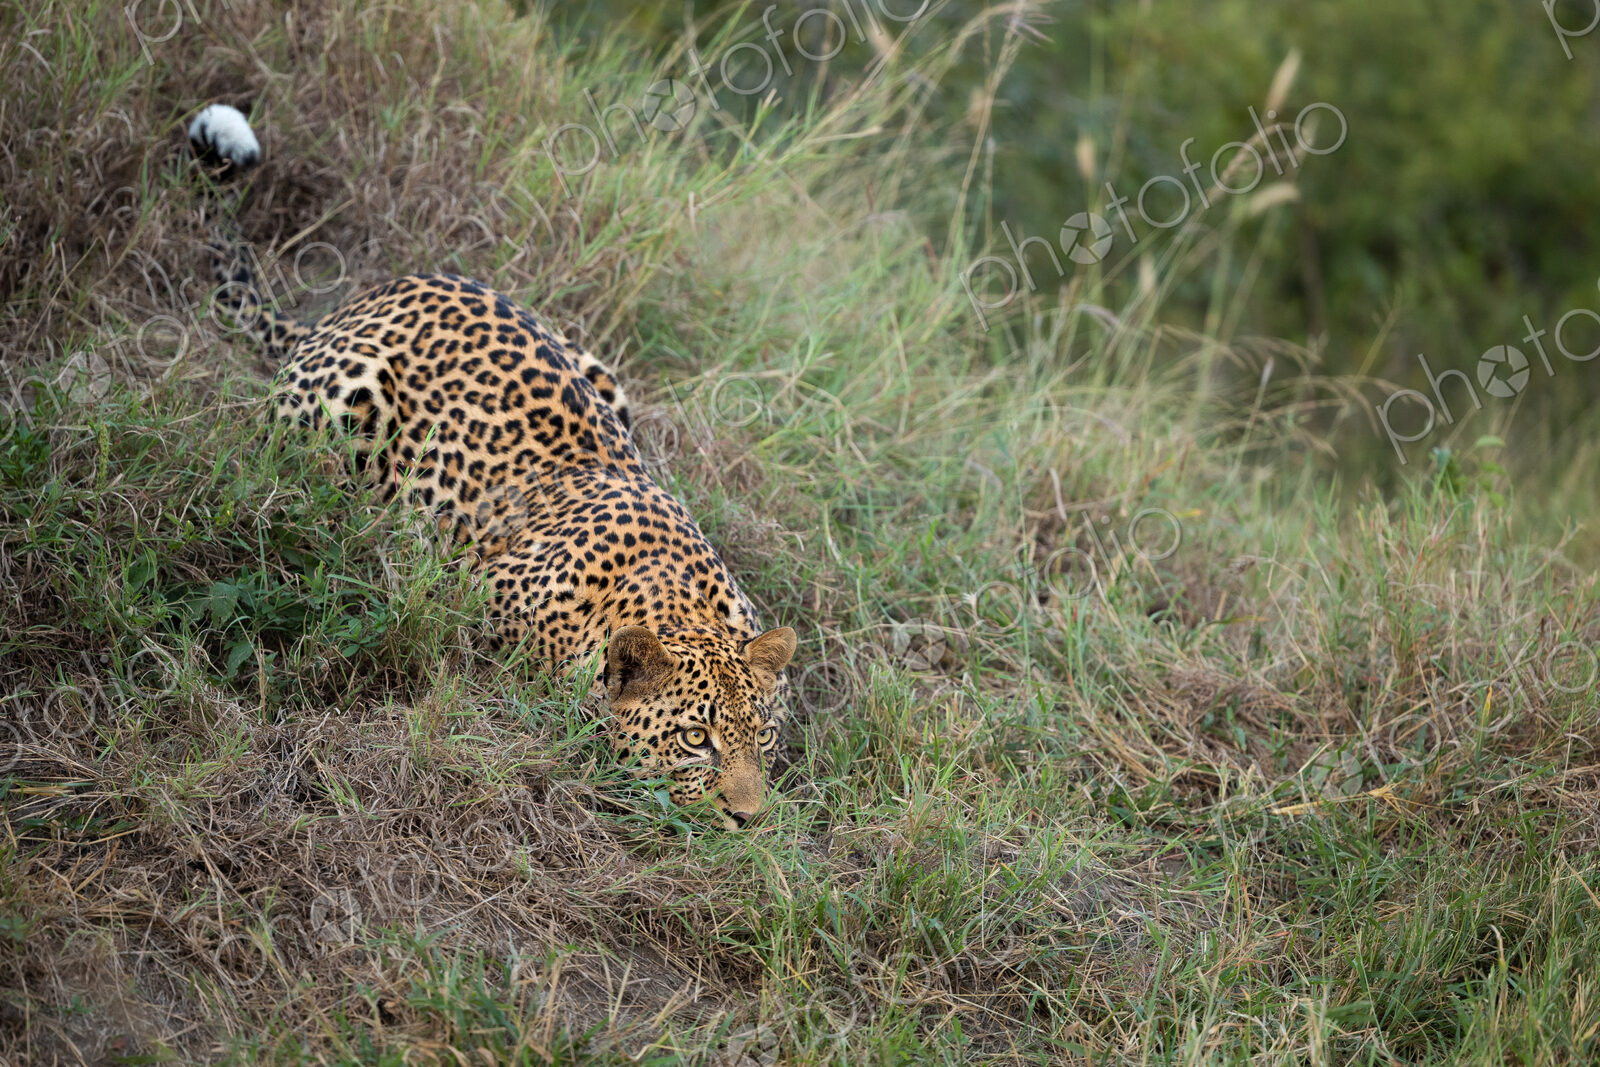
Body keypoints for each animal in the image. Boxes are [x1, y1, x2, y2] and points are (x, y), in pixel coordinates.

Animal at [186, 103, 796, 829]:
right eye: (696, 738)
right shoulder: (476, 610)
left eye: (763, 735)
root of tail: (367, 297)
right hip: (341, 403)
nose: (749, 819)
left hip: (600, 373)